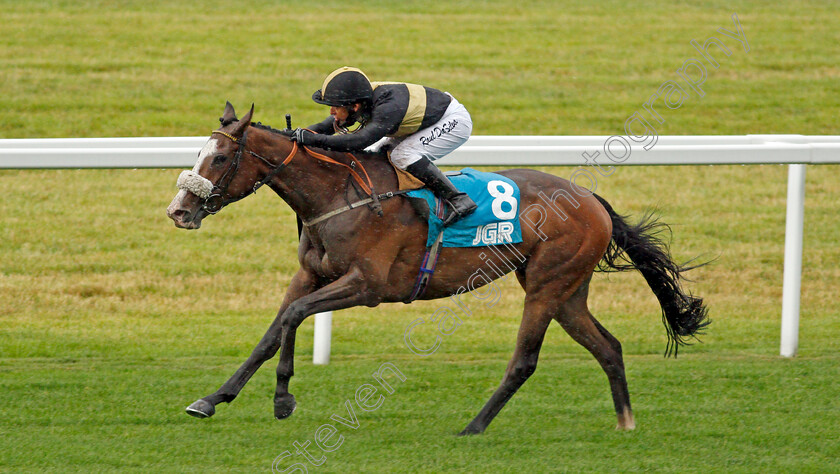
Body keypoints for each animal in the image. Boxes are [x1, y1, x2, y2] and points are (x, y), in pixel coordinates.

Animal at [166, 103, 708, 434]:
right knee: (608, 347)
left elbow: (295, 317)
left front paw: (282, 399)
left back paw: (473, 427)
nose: (178, 211)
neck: (339, 196)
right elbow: (274, 329)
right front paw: (213, 398)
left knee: (525, 360)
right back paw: (625, 422)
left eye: (219, 158)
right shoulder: (311, 275)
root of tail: (590, 197)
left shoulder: (368, 286)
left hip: (547, 285)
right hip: (566, 289)